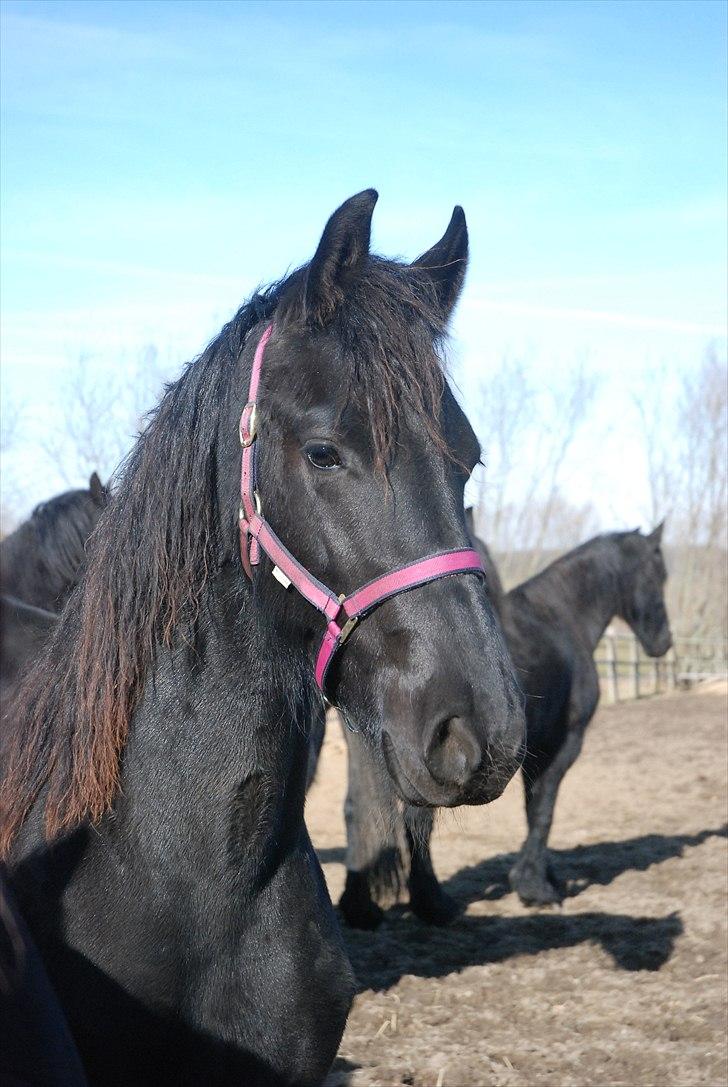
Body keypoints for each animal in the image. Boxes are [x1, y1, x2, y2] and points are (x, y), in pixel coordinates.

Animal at [339, 515, 678, 926]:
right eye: (657, 575)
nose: (663, 642)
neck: (562, 618)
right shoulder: (563, 743)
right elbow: (543, 810)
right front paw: (535, 887)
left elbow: (534, 808)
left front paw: (543, 877)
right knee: (417, 820)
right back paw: (432, 903)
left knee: (357, 812)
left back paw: (360, 907)